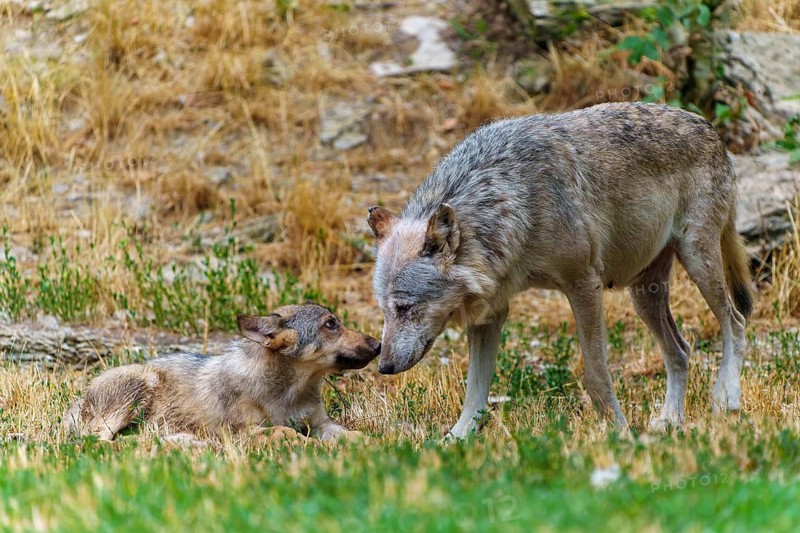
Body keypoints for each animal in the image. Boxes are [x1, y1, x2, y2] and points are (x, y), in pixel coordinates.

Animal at [63, 304, 380, 441]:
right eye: (331, 324)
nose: (379, 345)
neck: (288, 394)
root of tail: (77, 402)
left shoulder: (322, 423)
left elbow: (352, 435)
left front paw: (371, 447)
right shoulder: (239, 431)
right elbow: (286, 431)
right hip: (140, 385)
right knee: (95, 440)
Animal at [368, 102, 752, 438]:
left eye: (405, 308)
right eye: (385, 311)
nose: (383, 366)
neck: (513, 203)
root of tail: (709, 127)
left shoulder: (584, 283)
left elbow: (596, 376)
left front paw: (620, 432)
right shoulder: (491, 313)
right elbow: (475, 390)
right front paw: (458, 439)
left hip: (697, 259)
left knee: (734, 319)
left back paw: (727, 395)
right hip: (643, 294)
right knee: (681, 351)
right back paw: (670, 419)